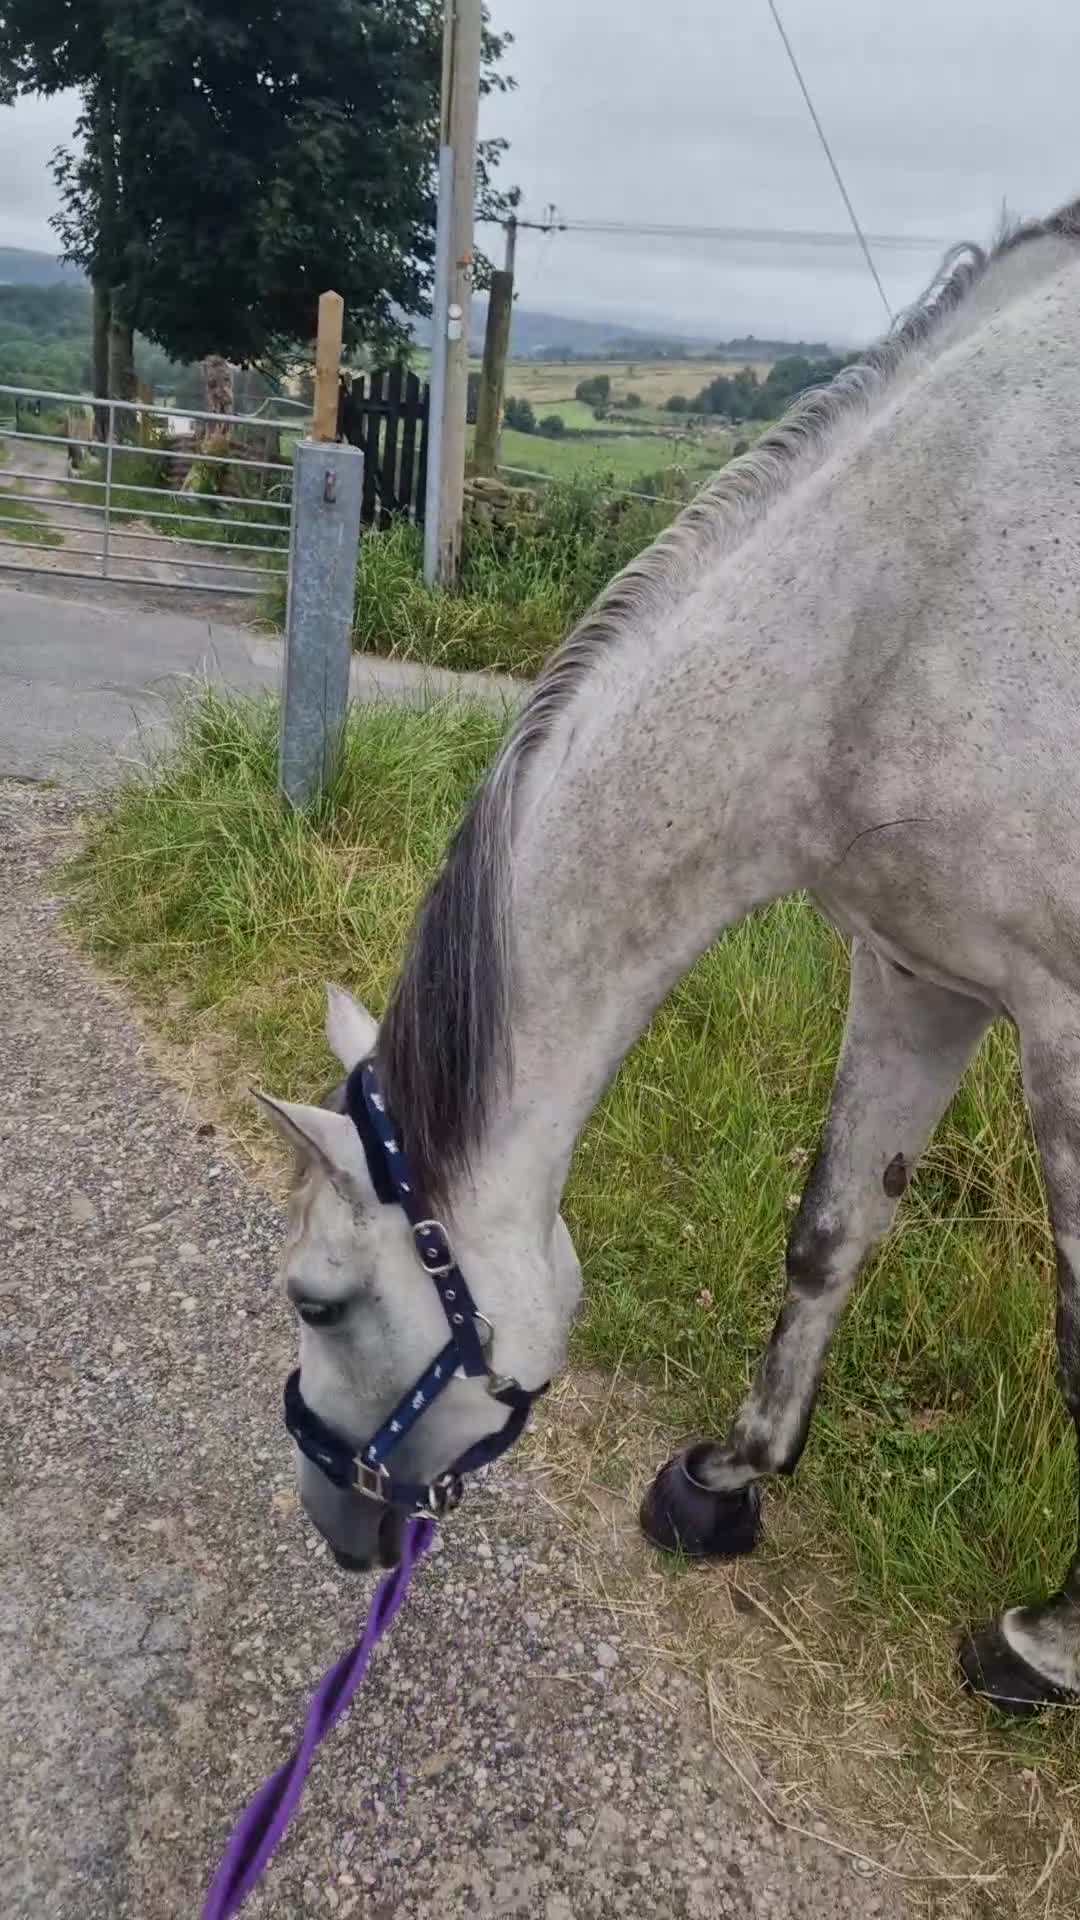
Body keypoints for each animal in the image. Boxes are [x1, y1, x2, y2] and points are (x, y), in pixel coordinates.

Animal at [259, 193, 1080, 1715]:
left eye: (317, 1300)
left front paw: (1046, 1640)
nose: (332, 1525)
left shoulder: (1065, 1019)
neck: (916, 595)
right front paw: (727, 1481)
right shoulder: (920, 974)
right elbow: (829, 1233)